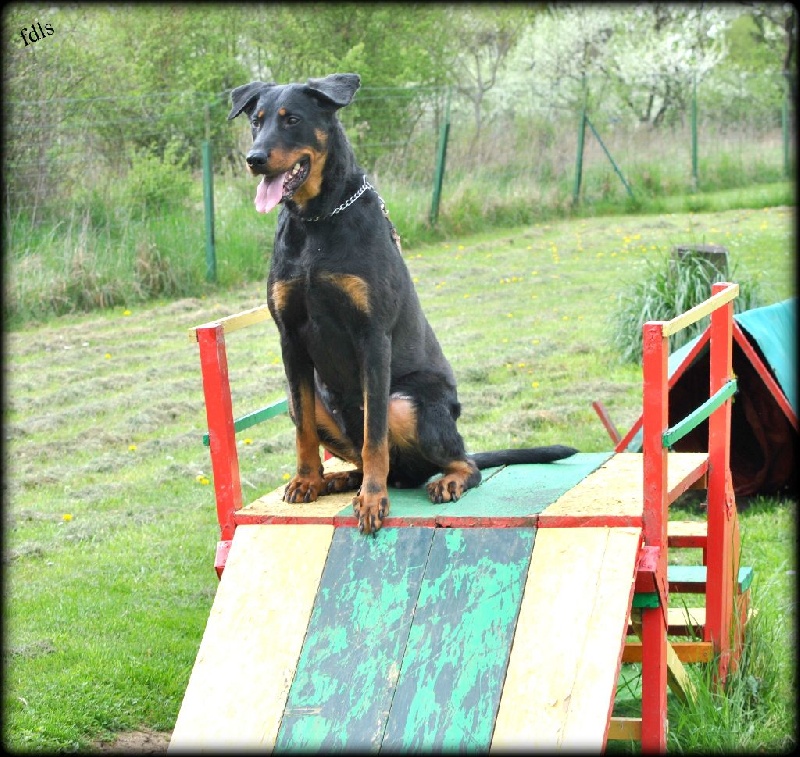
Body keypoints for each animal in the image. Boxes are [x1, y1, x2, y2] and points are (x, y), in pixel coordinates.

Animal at [228, 73, 577, 535]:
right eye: (257, 121)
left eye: (292, 120)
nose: (254, 159)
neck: (317, 221)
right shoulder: (290, 338)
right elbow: (304, 429)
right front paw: (306, 480)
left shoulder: (373, 337)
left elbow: (374, 436)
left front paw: (373, 500)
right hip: (319, 398)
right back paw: (339, 478)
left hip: (408, 403)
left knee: (461, 462)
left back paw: (441, 480)